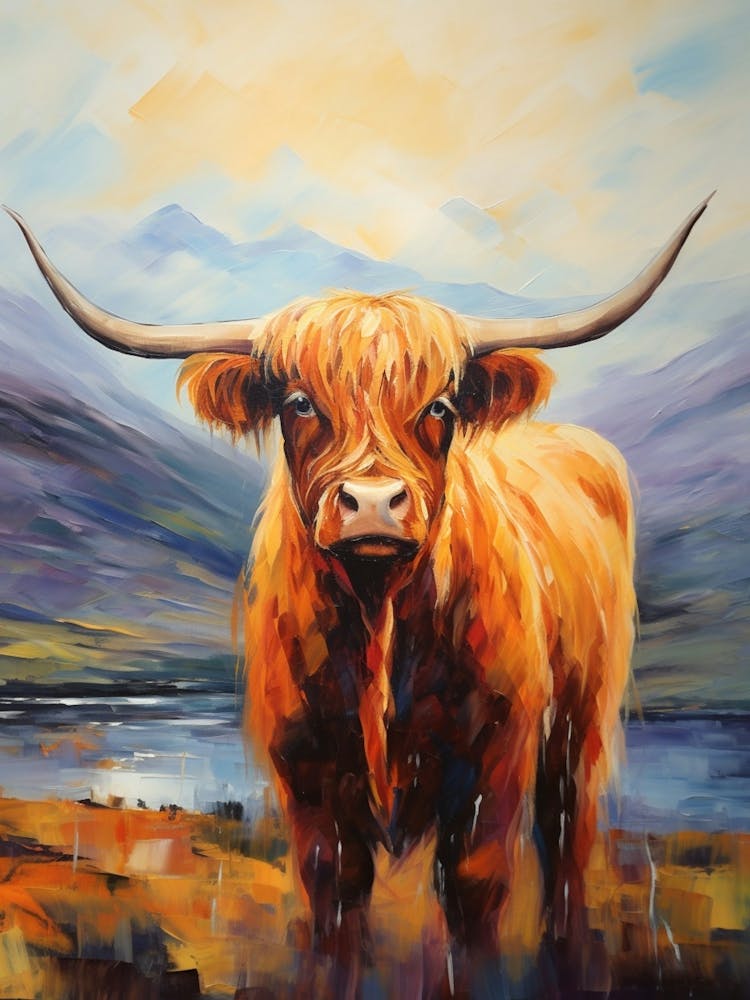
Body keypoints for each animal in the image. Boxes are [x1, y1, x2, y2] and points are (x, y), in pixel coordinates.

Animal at [6, 198, 709, 995]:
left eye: (440, 408)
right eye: (300, 403)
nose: (373, 503)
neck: (379, 619)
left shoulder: (493, 760)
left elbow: (476, 893)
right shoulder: (307, 773)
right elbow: (333, 904)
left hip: (579, 722)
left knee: (566, 840)